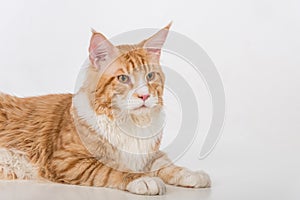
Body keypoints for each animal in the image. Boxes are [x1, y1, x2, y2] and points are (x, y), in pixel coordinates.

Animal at [0, 23, 211, 195]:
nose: (144, 96)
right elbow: (111, 169)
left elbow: (167, 165)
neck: (130, 123)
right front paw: (143, 179)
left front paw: (192, 174)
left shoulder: (148, 154)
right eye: (123, 78)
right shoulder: (67, 160)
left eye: (150, 76)